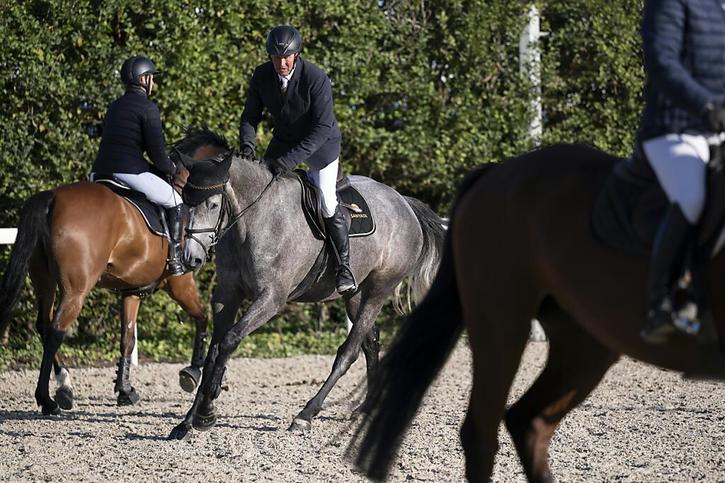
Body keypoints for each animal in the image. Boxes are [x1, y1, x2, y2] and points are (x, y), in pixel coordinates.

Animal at [0, 155, 215, 416]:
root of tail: (53, 197)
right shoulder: (179, 283)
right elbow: (202, 318)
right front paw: (192, 372)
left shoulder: (132, 292)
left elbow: (127, 339)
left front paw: (125, 390)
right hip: (75, 291)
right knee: (55, 331)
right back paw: (48, 399)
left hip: (44, 280)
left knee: (43, 325)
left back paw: (64, 386)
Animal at [166, 130, 444, 442]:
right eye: (184, 200)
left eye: (213, 204)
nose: (190, 258)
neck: (254, 218)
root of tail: (404, 202)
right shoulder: (227, 294)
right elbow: (214, 351)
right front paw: (189, 420)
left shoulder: (271, 298)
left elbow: (229, 340)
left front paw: (206, 412)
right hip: (356, 293)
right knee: (369, 342)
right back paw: (366, 408)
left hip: (380, 288)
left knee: (348, 351)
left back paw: (306, 414)